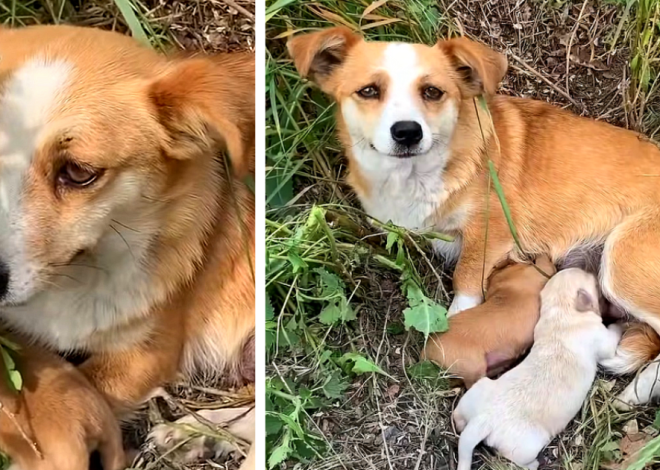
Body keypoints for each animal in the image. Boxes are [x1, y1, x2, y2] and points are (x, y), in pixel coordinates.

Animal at [452, 268, 620, 470]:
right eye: (592, 281)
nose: (593, 272)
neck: (561, 312)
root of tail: (482, 420)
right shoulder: (601, 338)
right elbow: (612, 338)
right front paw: (621, 325)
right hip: (528, 444)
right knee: (516, 459)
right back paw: (534, 463)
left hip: (477, 390)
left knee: (458, 415)